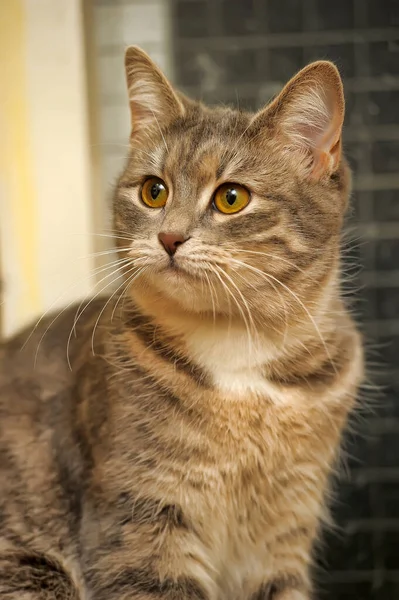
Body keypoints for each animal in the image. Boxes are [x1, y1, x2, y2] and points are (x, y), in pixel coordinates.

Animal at [0, 44, 364, 596]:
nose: (169, 237)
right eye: (154, 191)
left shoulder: (284, 529)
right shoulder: (140, 523)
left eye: (232, 197)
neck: (240, 351)